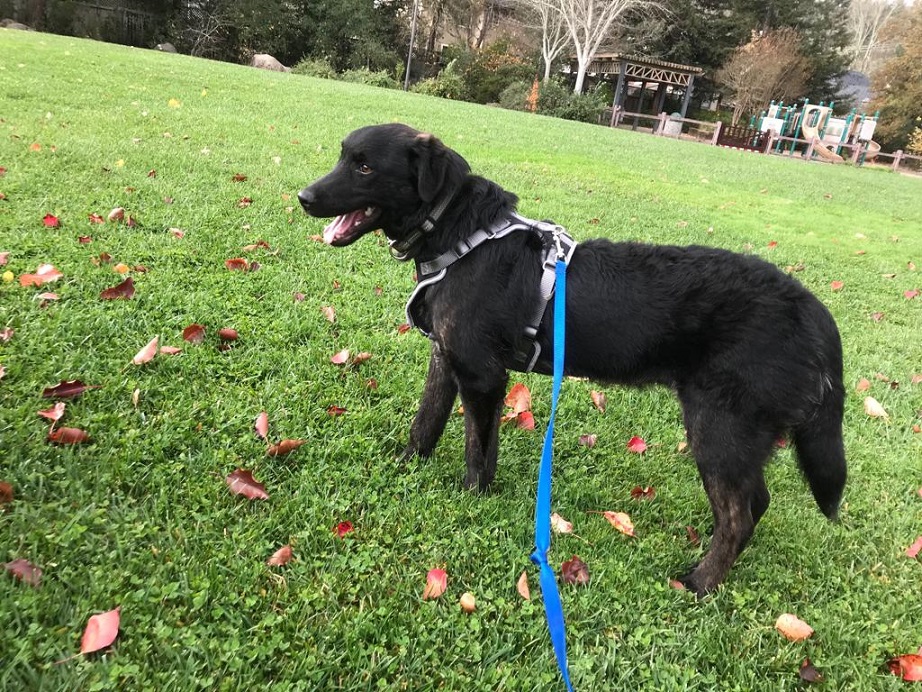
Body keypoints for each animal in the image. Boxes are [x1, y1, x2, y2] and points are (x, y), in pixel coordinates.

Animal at [298, 124, 844, 596]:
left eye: (365, 167)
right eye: (343, 157)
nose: (304, 197)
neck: (461, 237)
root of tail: (812, 310)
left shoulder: (482, 375)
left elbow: (478, 451)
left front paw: (473, 500)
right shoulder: (447, 359)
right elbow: (425, 424)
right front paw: (407, 466)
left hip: (718, 426)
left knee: (738, 516)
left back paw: (701, 582)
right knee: (753, 502)